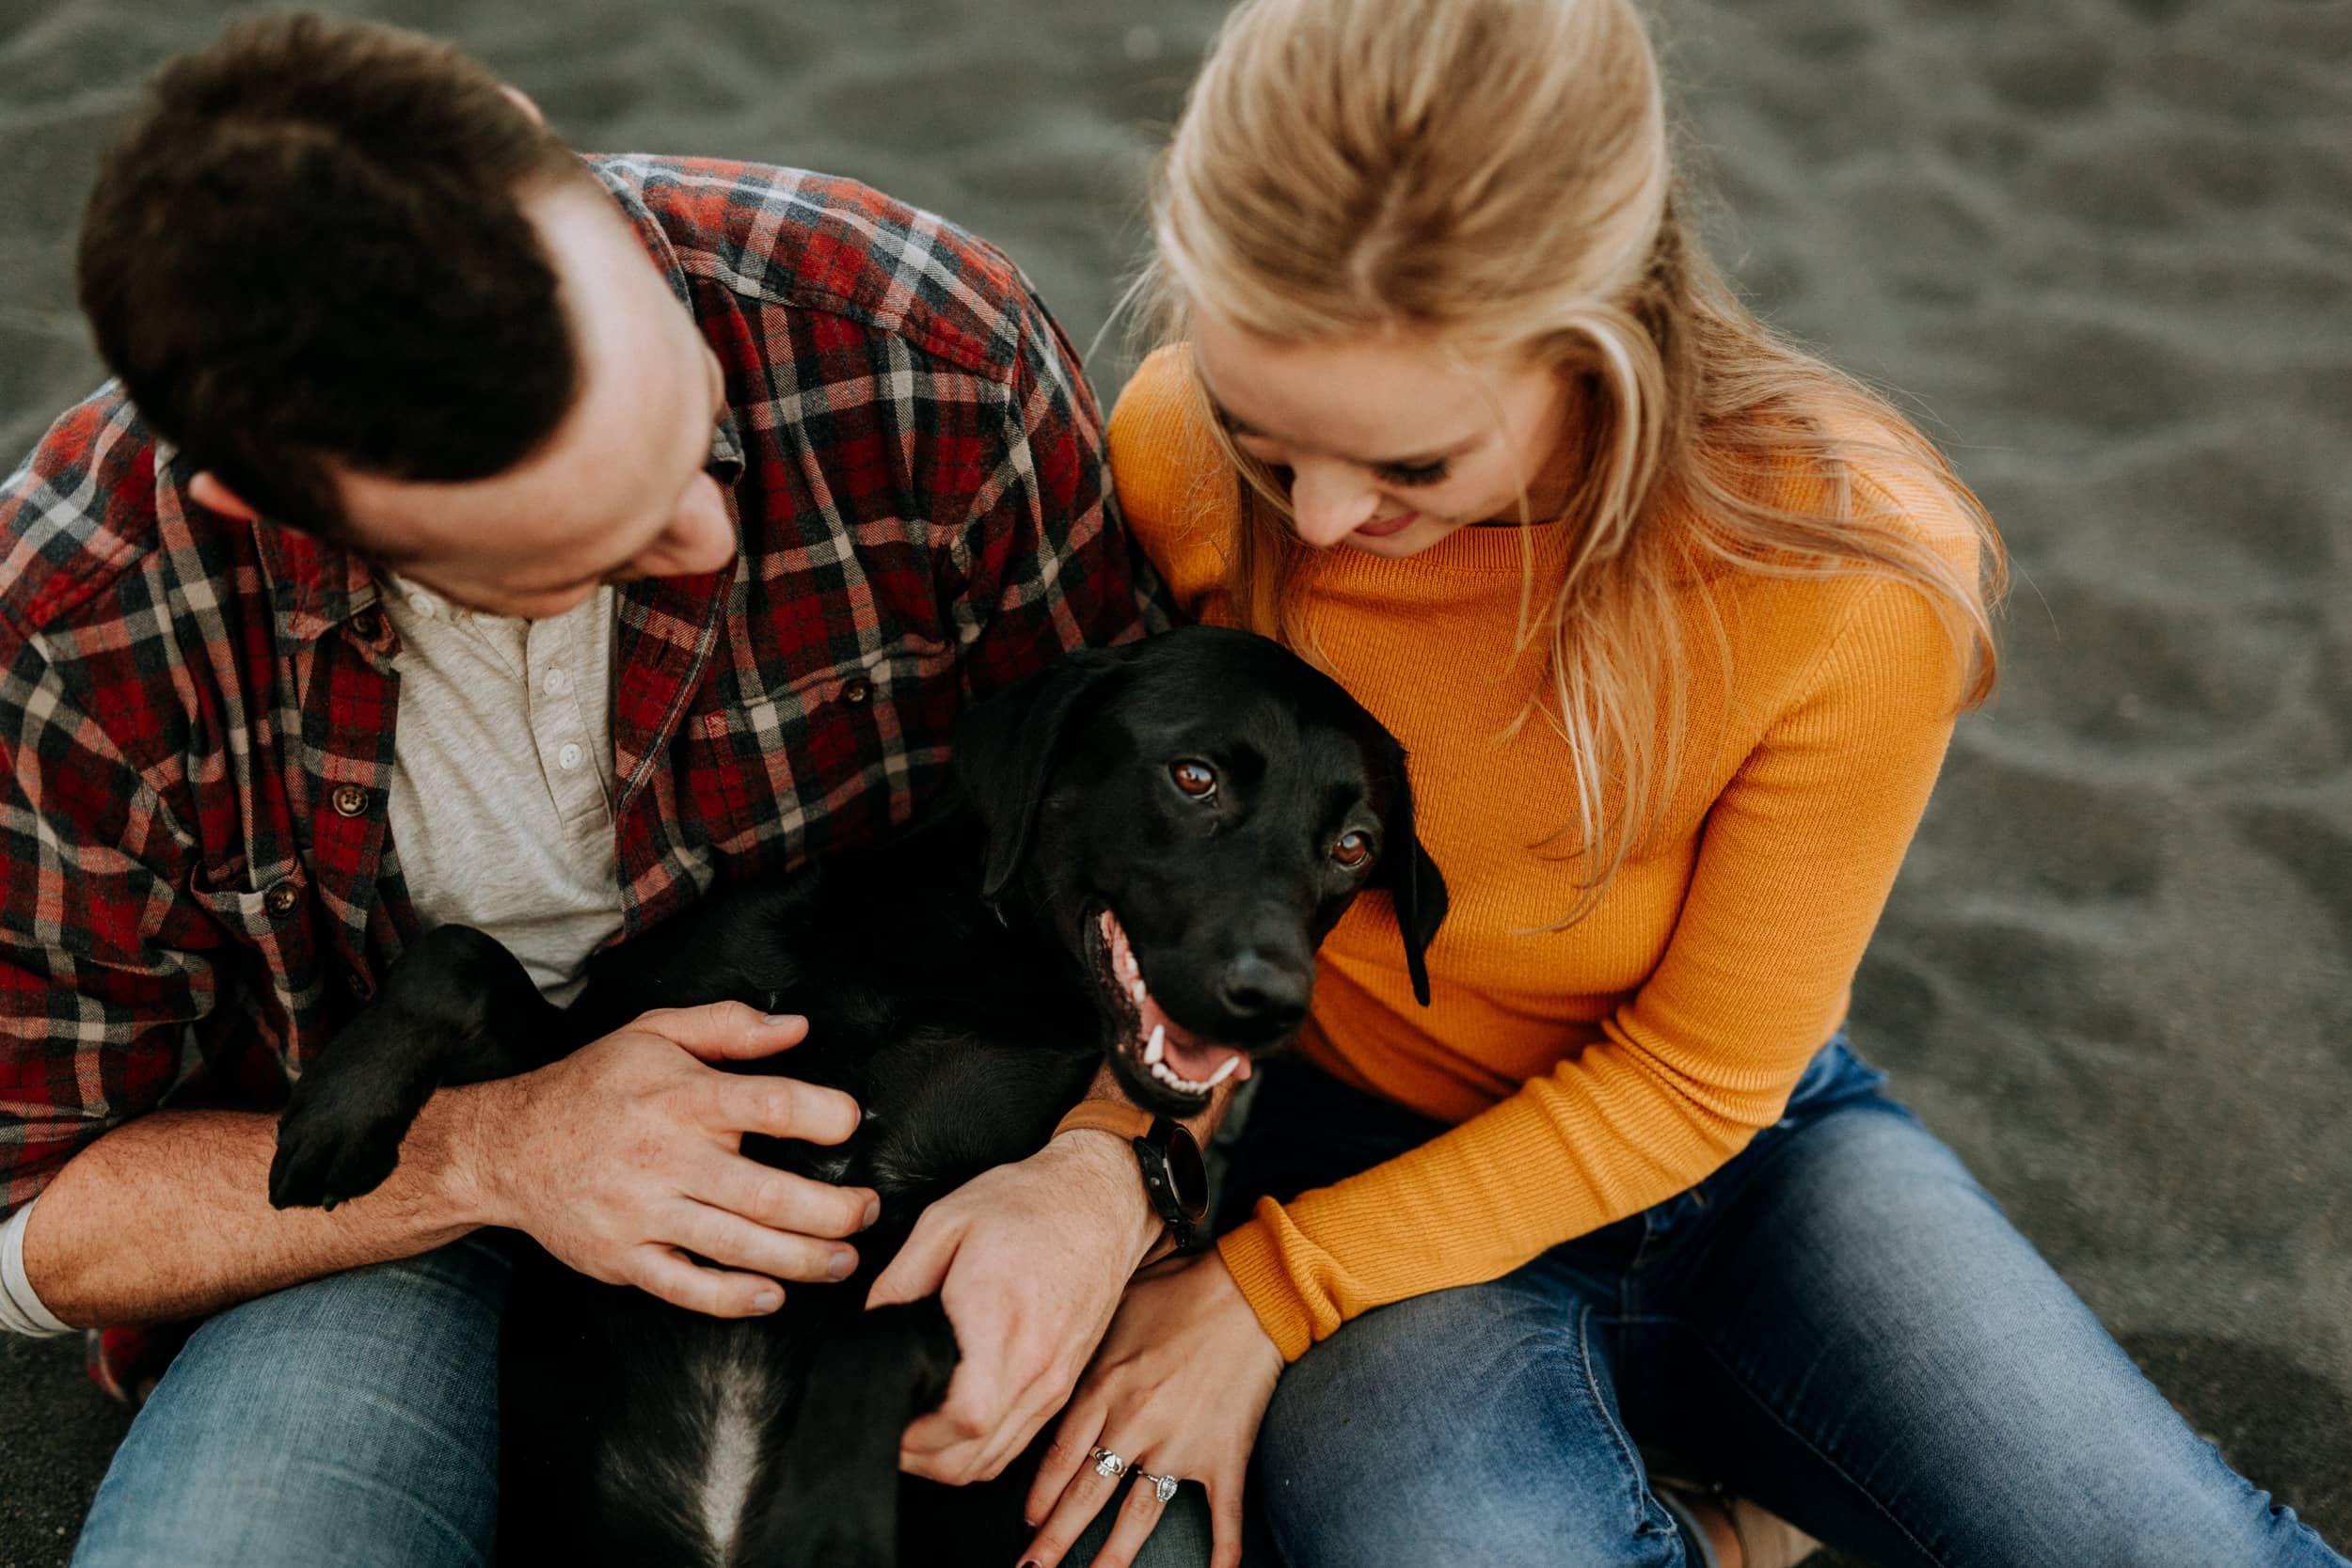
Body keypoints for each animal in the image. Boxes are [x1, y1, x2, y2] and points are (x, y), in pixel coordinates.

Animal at [270, 629, 1449, 1568]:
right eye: (1194, 775)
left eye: (1352, 847)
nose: (1273, 999)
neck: (955, 960)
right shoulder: (608, 1058)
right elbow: (457, 954)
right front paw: (333, 1117)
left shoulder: (959, 1268)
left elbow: (872, 1335)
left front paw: (827, 1521)